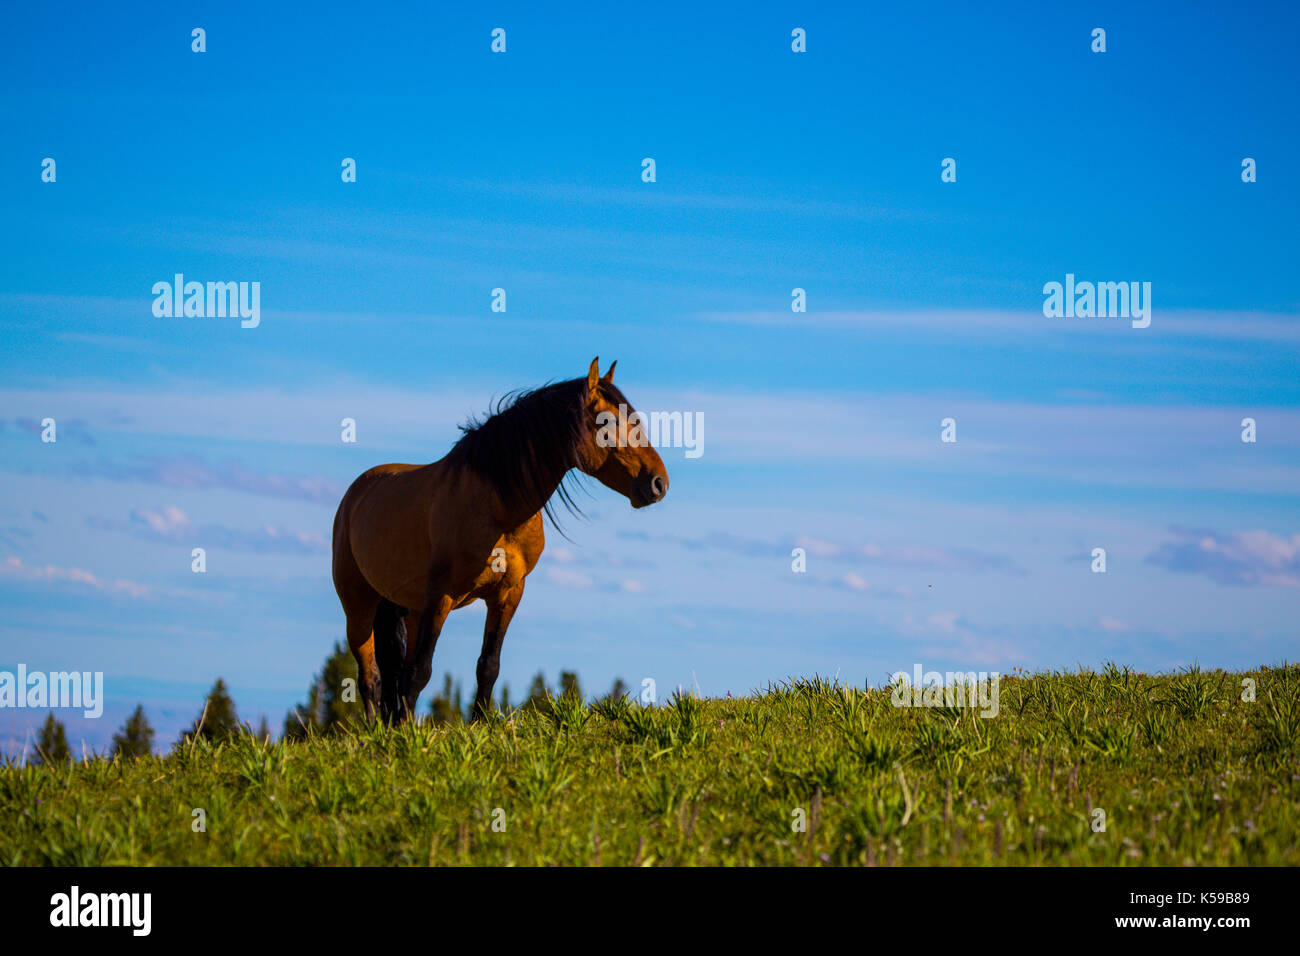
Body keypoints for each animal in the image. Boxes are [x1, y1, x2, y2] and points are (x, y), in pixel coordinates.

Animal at [331, 358, 669, 722]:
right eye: (608, 421)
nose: (658, 483)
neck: (498, 509)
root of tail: (355, 494)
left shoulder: (507, 594)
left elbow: (487, 667)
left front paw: (477, 725)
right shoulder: (441, 596)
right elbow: (421, 671)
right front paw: (408, 732)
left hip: (409, 608)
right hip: (360, 606)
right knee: (371, 676)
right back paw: (375, 728)